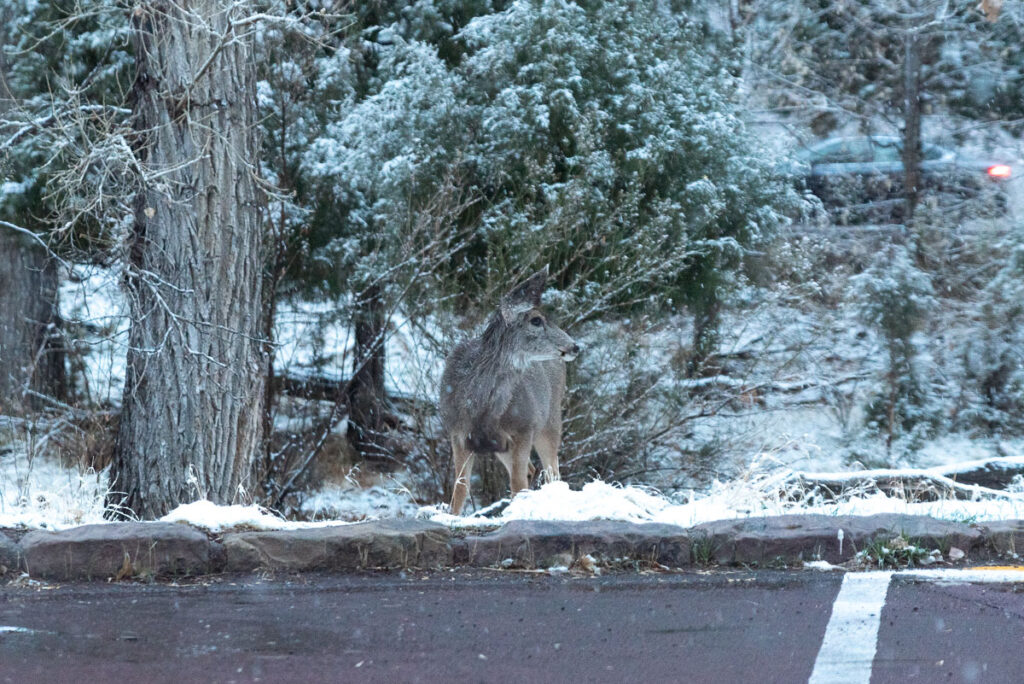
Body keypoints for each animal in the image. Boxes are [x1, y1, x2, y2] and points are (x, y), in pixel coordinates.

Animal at [440, 266, 585, 511]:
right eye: (536, 320)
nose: (575, 346)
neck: (479, 408)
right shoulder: (457, 433)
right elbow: (460, 488)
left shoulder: (524, 428)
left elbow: (518, 484)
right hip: (504, 445)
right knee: (533, 470)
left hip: (550, 421)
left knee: (552, 474)